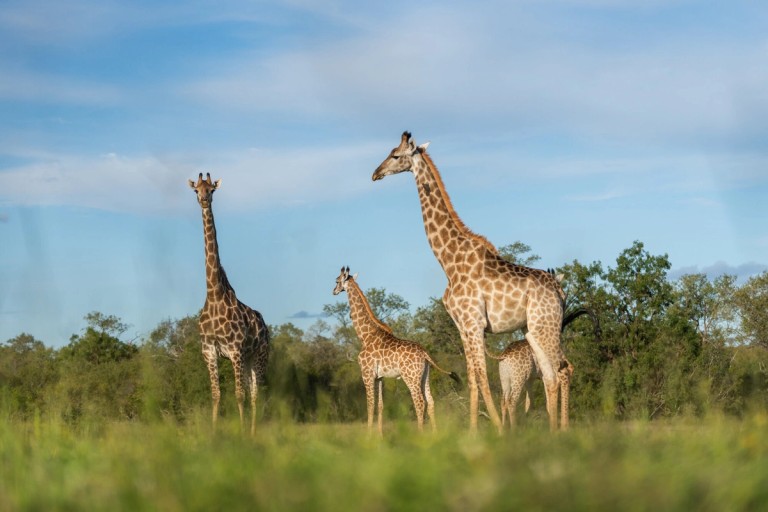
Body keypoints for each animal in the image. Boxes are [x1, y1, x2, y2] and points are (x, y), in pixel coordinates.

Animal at [189, 172, 270, 435]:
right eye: (196, 190)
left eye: (212, 189)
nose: (204, 200)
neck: (214, 296)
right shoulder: (209, 351)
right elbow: (217, 394)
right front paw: (214, 435)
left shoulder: (235, 350)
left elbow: (239, 395)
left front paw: (242, 434)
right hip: (246, 359)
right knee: (250, 390)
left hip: (259, 355)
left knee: (255, 394)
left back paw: (253, 432)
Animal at [333, 266, 460, 434]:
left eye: (336, 280)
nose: (333, 291)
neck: (365, 335)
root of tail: (424, 353)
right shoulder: (380, 377)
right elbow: (380, 405)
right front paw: (379, 436)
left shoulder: (366, 374)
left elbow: (370, 406)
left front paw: (368, 436)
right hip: (424, 375)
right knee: (431, 401)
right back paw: (435, 435)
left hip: (410, 376)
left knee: (420, 402)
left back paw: (420, 435)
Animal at [372, 131, 568, 432]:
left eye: (395, 155)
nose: (376, 173)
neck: (449, 262)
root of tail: (560, 290)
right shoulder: (462, 327)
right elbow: (473, 380)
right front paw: (474, 433)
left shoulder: (474, 323)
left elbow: (484, 379)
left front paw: (498, 429)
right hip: (533, 330)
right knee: (550, 376)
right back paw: (553, 433)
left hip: (545, 326)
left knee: (560, 373)